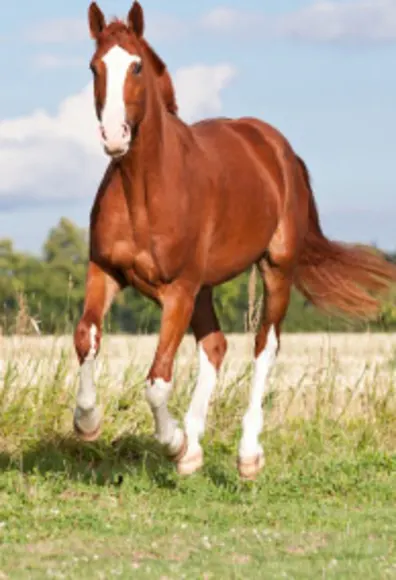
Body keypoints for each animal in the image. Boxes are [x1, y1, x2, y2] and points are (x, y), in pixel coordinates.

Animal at [73, 2, 396, 478]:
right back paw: (194, 450)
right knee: (216, 346)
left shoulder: (179, 289)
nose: (115, 136)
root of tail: (277, 148)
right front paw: (89, 422)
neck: (145, 190)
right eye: (94, 67)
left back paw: (246, 457)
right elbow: (86, 338)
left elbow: (157, 379)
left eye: (135, 66)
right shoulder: (107, 271)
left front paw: (172, 443)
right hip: (205, 287)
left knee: (264, 347)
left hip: (274, 270)